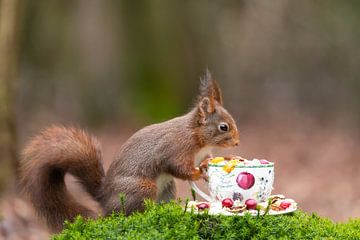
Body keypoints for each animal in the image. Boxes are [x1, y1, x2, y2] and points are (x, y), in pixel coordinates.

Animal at [18, 70, 240, 232]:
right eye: (223, 127)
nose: (238, 143)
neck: (197, 137)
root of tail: (103, 197)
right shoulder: (175, 149)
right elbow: (179, 168)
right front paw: (198, 171)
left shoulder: (202, 152)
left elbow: (207, 159)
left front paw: (212, 164)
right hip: (142, 188)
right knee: (127, 213)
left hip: (167, 188)